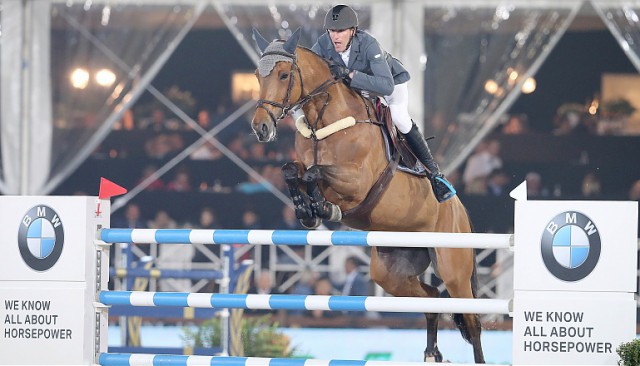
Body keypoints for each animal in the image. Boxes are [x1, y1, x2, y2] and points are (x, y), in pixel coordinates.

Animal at [250, 27, 484, 364]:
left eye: (283, 74)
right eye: (257, 75)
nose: (261, 127)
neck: (325, 122)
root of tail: (460, 208)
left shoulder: (358, 182)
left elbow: (315, 173)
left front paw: (322, 208)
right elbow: (293, 171)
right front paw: (307, 210)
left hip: (453, 266)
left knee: (472, 319)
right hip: (390, 270)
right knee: (432, 298)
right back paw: (431, 353)